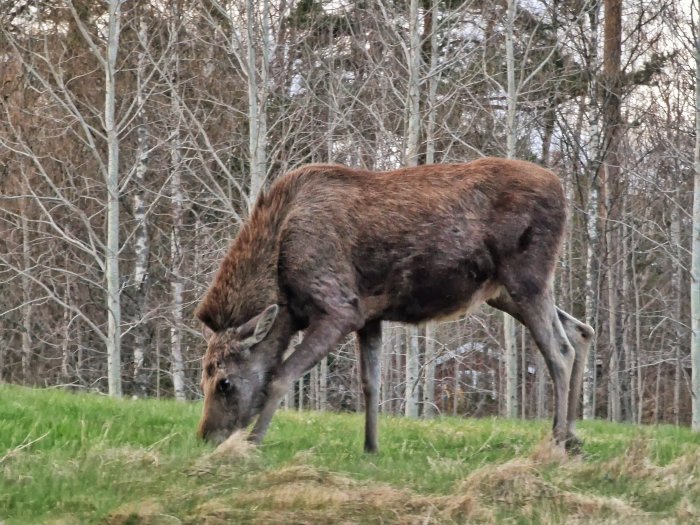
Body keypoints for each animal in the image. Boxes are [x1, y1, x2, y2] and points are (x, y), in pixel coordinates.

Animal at [194, 158, 592, 452]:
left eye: (224, 383)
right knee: (581, 330)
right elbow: (370, 383)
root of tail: (562, 190)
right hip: (506, 292)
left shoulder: (340, 309)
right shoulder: (369, 316)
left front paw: (252, 444)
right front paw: (371, 447)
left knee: (560, 350)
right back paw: (572, 435)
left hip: (526, 277)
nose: (205, 437)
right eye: (203, 377)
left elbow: (280, 375)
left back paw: (558, 439)